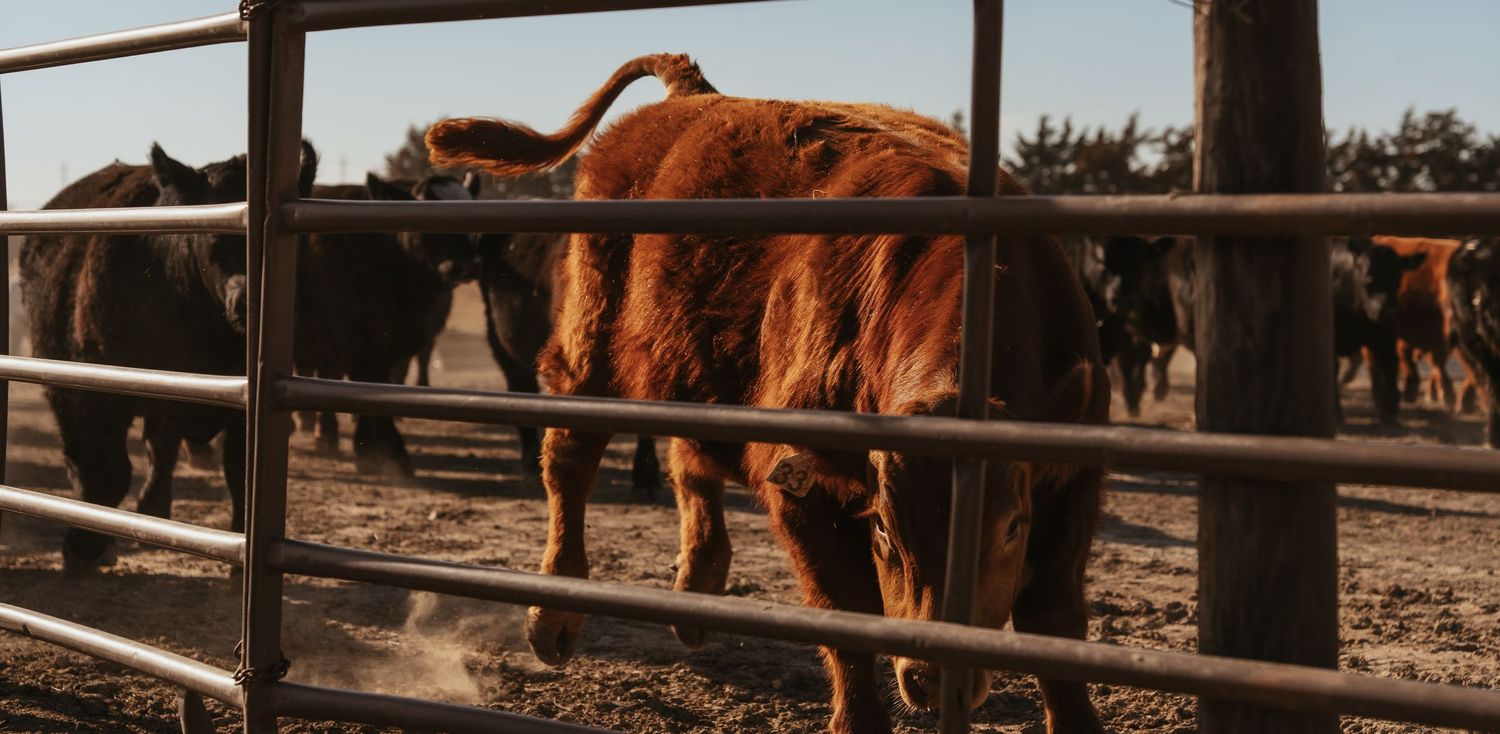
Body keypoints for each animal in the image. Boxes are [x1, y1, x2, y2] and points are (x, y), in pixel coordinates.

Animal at [20, 143, 316, 575]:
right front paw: (82, 547)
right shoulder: (92, 395)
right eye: (215, 239)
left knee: (159, 448)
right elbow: (106, 471)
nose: (248, 301)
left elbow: (240, 475)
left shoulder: (245, 411)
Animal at [294, 172, 479, 476]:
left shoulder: (390, 345)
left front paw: (367, 449)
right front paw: (394, 454)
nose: (467, 265)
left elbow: (376, 387)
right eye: (429, 211)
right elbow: (367, 384)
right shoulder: (352, 340)